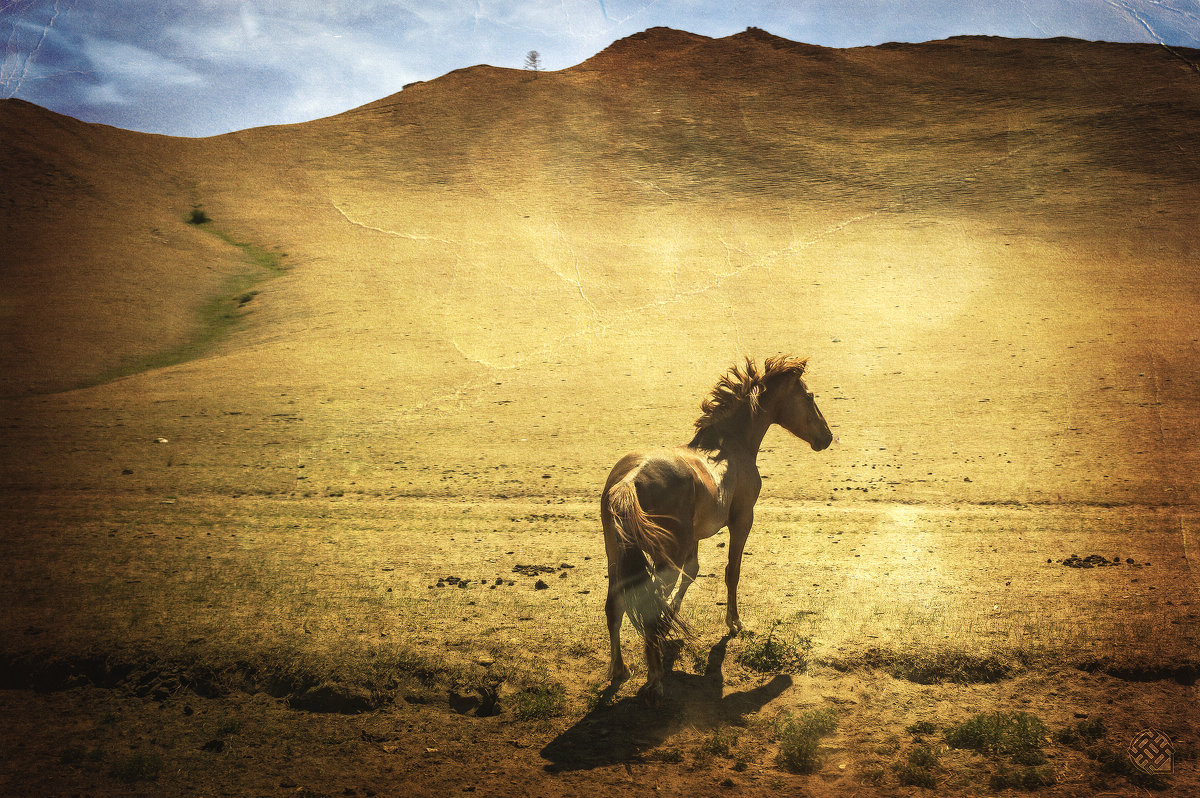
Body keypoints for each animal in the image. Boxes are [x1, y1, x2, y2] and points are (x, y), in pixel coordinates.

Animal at [604, 355, 830, 705]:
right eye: (809, 396)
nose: (827, 438)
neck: (729, 447)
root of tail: (631, 479)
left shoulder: (694, 539)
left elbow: (693, 571)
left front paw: (673, 617)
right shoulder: (743, 520)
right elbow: (731, 571)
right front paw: (734, 622)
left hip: (616, 554)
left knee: (615, 604)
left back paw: (620, 669)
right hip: (664, 555)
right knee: (647, 602)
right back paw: (654, 679)